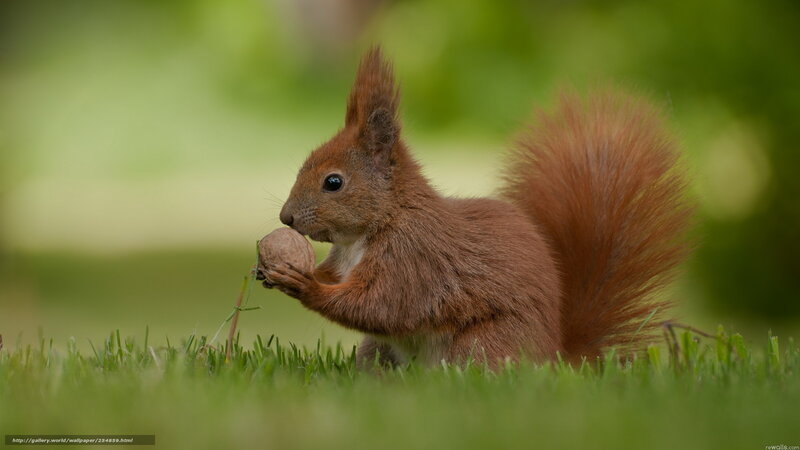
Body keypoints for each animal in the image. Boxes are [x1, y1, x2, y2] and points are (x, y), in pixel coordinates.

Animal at [260, 46, 693, 368]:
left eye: (334, 182)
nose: (286, 218)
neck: (371, 229)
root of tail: (555, 356)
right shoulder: (347, 260)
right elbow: (341, 282)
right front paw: (275, 271)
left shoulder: (415, 260)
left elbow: (380, 306)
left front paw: (305, 285)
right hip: (377, 351)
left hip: (482, 344)